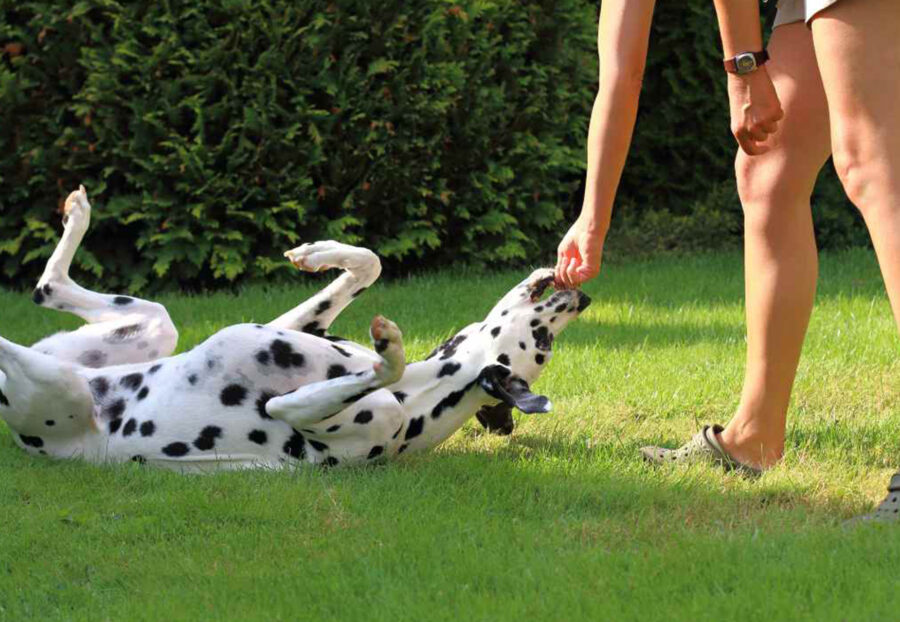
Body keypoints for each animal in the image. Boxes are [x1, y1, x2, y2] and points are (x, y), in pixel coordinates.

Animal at [0, 188, 592, 470]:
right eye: (546, 341)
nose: (583, 298)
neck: (420, 396)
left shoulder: (328, 413)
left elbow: (370, 370)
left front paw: (388, 346)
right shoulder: (287, 328)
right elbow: (370, 262)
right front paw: (320, 252)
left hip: (56, 386)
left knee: (24, 319)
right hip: (155, 330)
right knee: (47, 287)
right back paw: (77, 214)